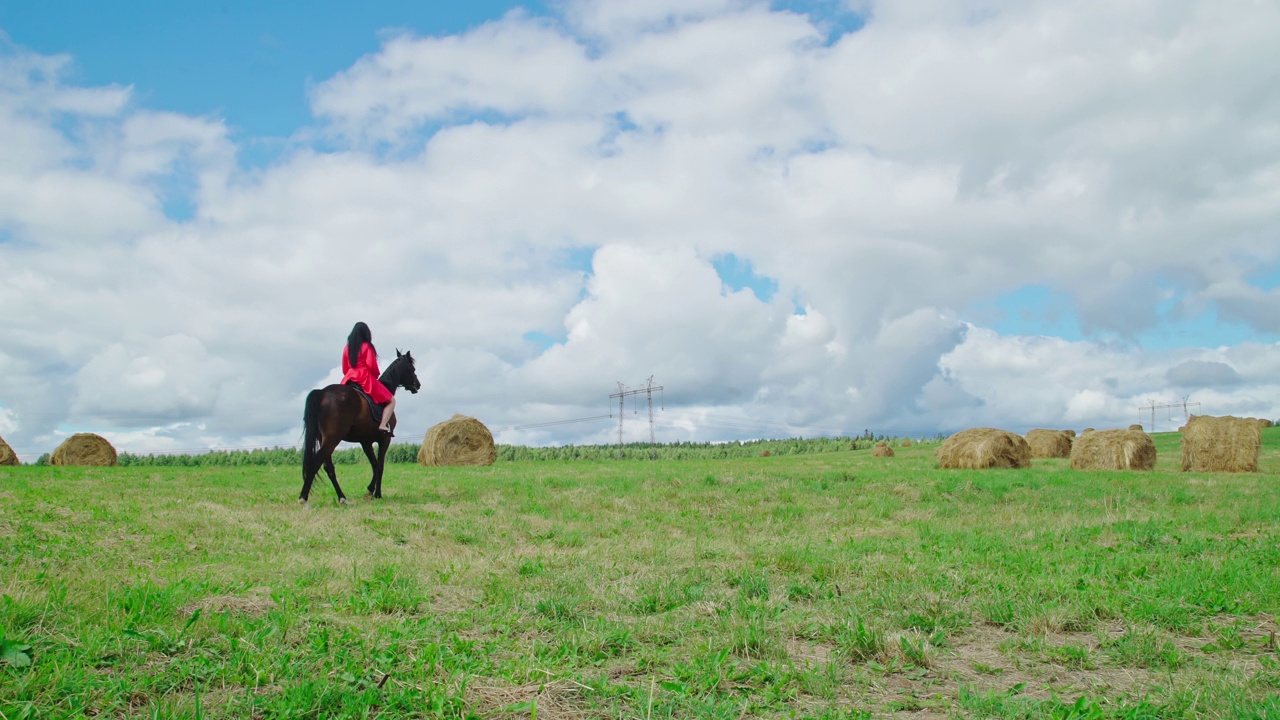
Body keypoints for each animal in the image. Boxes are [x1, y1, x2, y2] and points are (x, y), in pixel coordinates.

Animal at [299, 351, 419, 502]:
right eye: (412, 369)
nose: (418, 384)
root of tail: (322, 392)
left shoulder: (365, 441)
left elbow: (374, 464)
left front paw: (370, 490)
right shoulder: (385, 439)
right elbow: (380, 465)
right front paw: (377, 493)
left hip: (323, 439)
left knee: (328, 467)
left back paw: (342, 498)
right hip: (332, 439)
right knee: (316, 463)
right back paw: (304, 498)